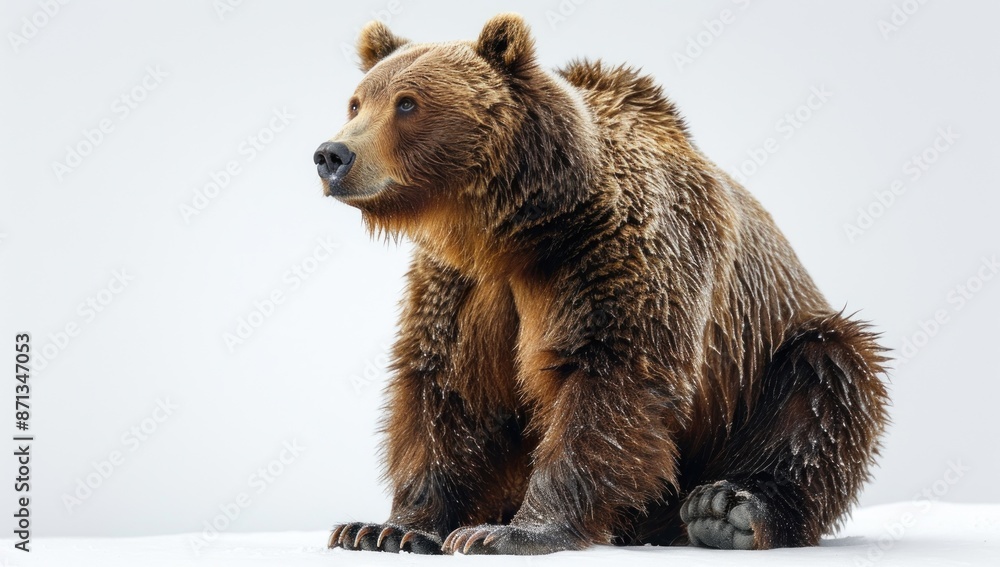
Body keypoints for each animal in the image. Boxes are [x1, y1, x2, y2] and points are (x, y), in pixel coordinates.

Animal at [313, 13, 889, 555]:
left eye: (408, 103)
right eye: (357, 102)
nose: (331, 155)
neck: (518, 230)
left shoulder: (615, 254)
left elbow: (610, 379)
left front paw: (510, 533)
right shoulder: (462, 286)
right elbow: (446, 389)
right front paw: (386, 529)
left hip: (769, 352)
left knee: (825, 384)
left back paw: (730, 509)